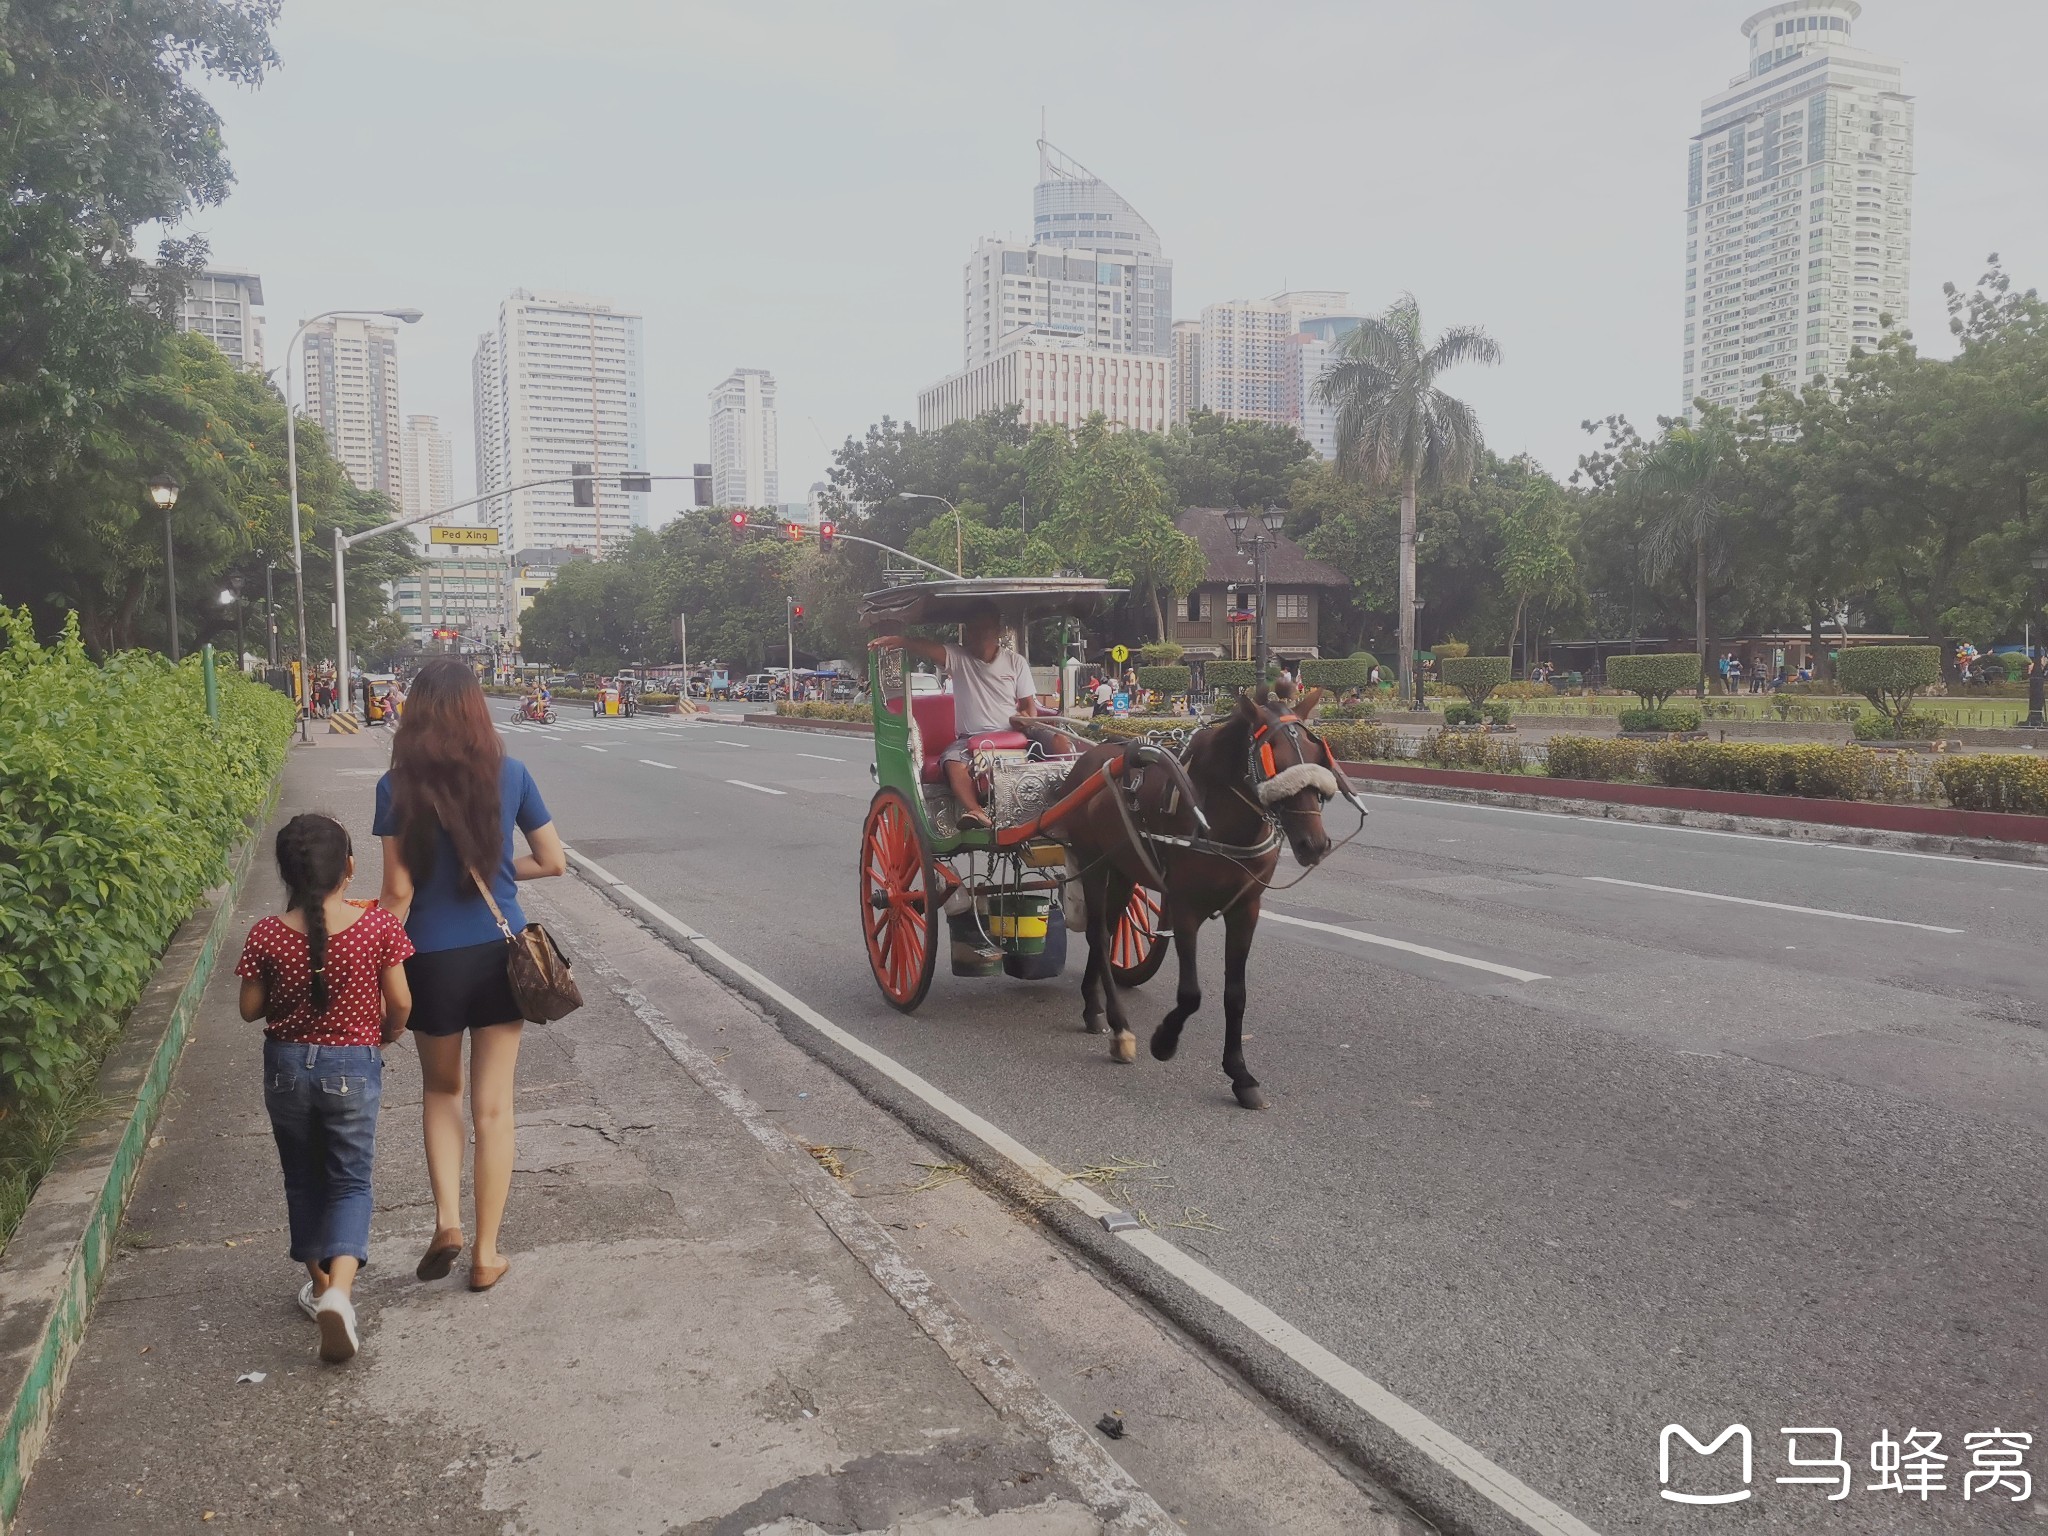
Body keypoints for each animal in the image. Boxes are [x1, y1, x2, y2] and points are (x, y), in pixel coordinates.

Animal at [1056, 684, 1343, 1105]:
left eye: (1316, 753)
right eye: (1273, 759)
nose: (1314, 844)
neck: (1218, 816)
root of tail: (1089, 758)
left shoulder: (1246, 908)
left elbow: (1235, 994)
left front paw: (1240, 1074)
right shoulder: (1185, 905)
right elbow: (1190, 993)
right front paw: (1164, 1040)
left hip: (1123, 872)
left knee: (1106, 932)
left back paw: (1093, 1006)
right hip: (1095, 864)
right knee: (1099, 933)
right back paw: (1120, 1026)